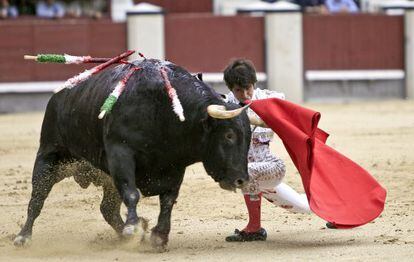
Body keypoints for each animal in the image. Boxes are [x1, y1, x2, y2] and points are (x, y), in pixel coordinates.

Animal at [12, 58, 251, 250]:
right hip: (49, 156)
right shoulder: (120, 154)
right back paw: (23, 237)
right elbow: (132, 192)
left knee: (107, 208)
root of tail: (61, 93)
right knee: (37, 198)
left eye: (249, 136)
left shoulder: (173, 165)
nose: (242, 180)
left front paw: (157, 236)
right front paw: (133, 227)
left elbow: (168, 200)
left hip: (105, 178)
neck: (165, 110)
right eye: (229, 135)